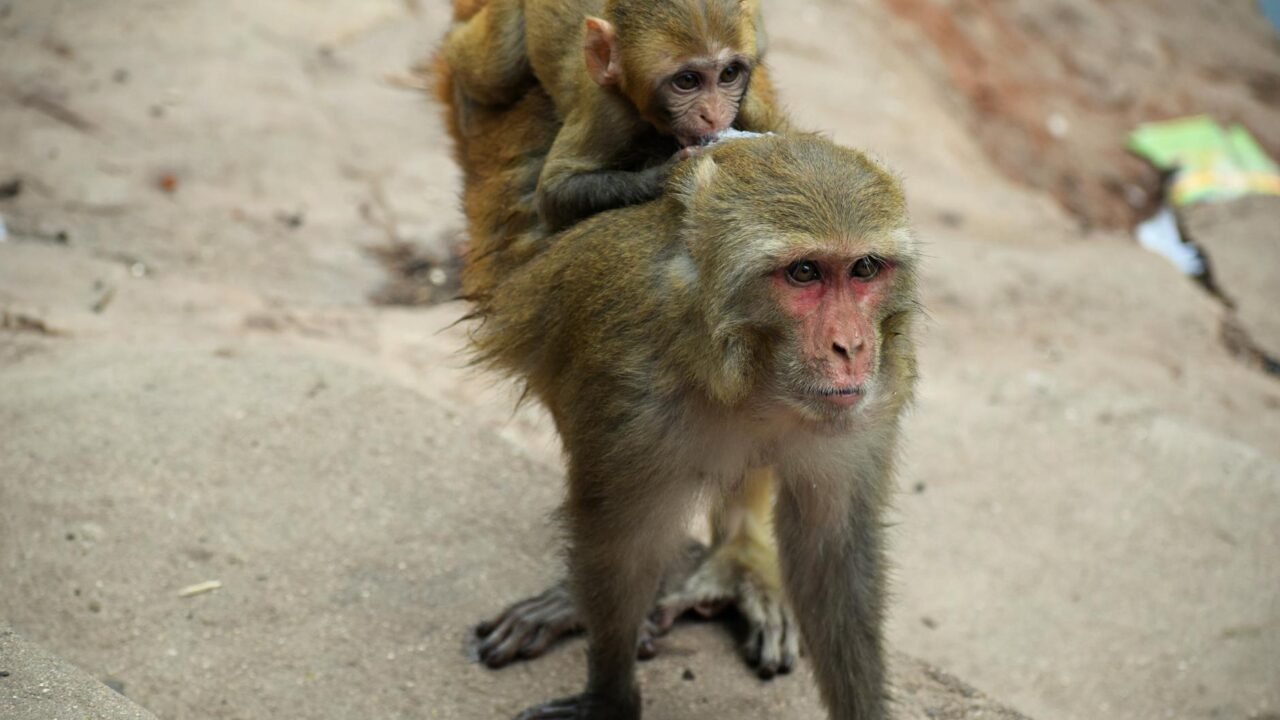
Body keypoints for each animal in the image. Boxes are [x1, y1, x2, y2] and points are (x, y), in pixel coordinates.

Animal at [442, 0, 788, 232]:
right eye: (688, 81)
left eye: (729, 74)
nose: (714, 115)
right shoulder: (608, 111)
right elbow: (554, 193)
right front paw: (667, 173)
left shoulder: (744, 101)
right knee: (495, 73)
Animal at [463, 131, 920, 720]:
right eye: (804, 273)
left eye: (864, 269)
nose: (852, 346)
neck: (755, 379)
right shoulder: (631, 392)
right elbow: (622, 542)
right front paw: (609, 697)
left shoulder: (871, 403)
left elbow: (831, 550)